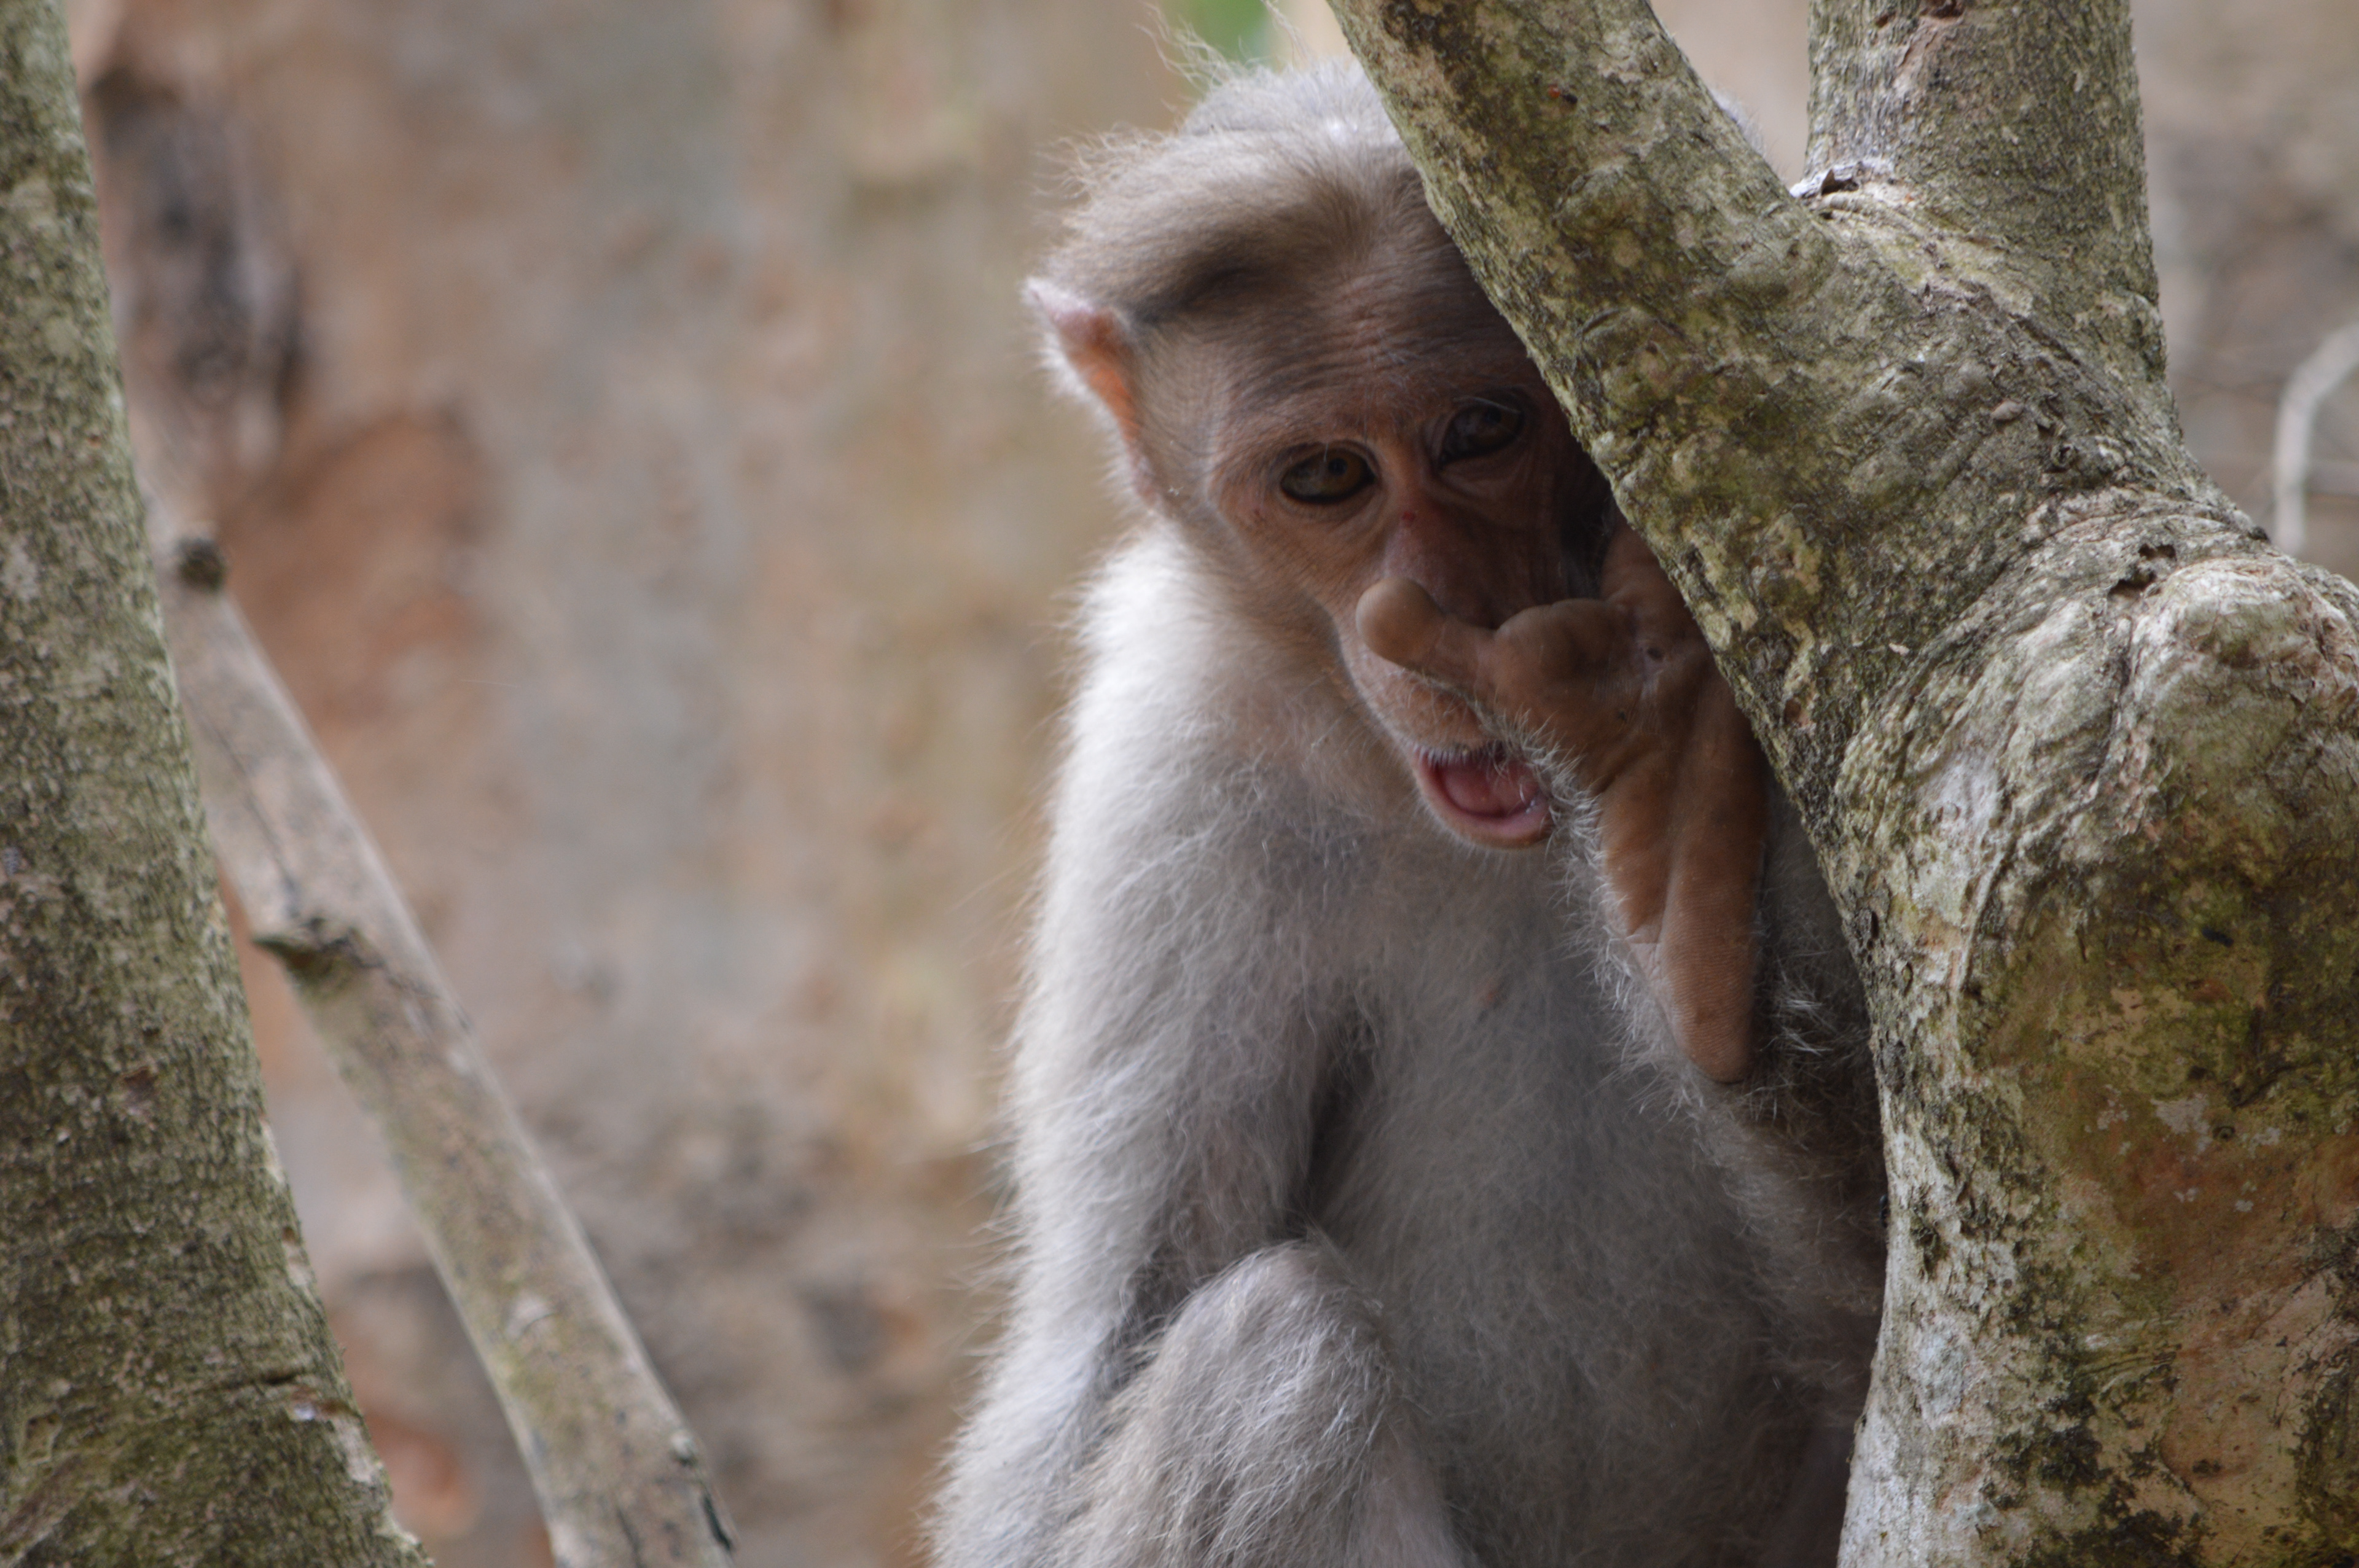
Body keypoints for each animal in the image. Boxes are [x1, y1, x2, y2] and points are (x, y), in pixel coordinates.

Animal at [934, 62, 1884, 1568]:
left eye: (1484, 430)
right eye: (1327, 479)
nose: (1440, 612)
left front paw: (1685, 850)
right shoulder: (1172, 759)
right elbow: (1124, 1324)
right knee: (1272, 1348)